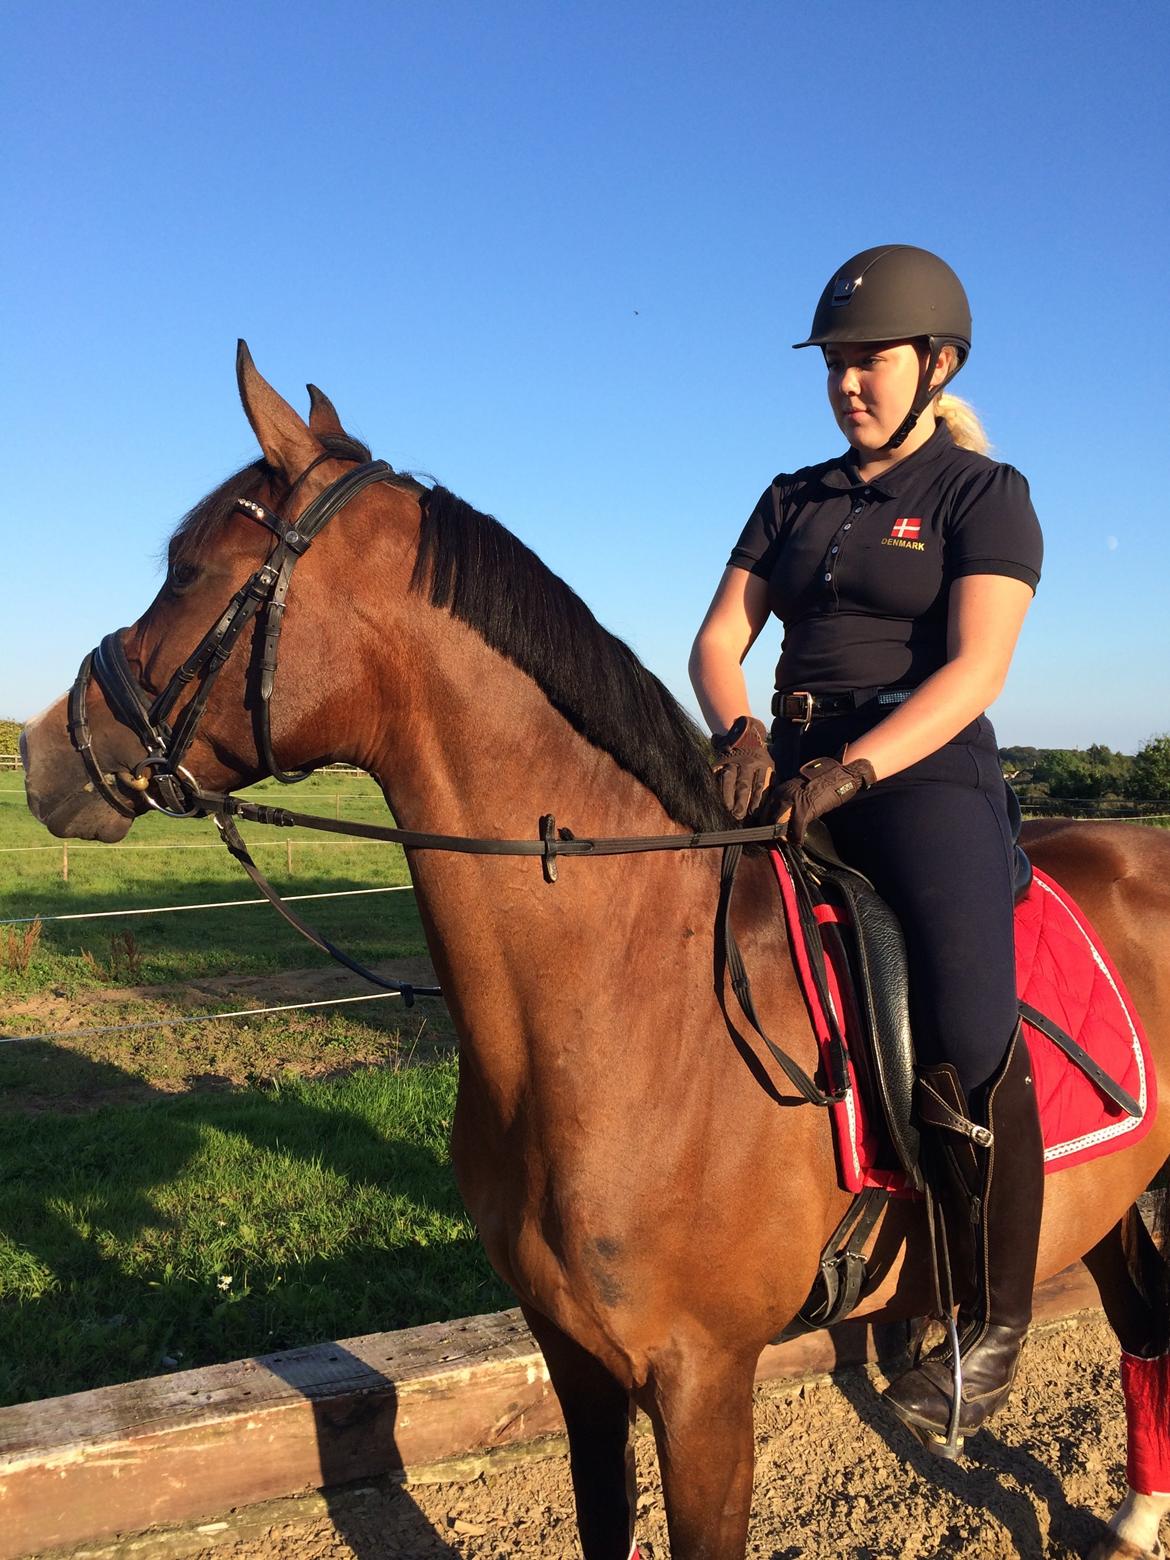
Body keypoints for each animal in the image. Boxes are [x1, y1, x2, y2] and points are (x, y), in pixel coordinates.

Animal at [21, 346, 1170, 1560]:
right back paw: (1137, 1515)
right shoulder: (574, 1356)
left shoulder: (703, 1382)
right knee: (1141, 1320)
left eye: (189, 573)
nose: (46, 749)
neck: (628, 1012)